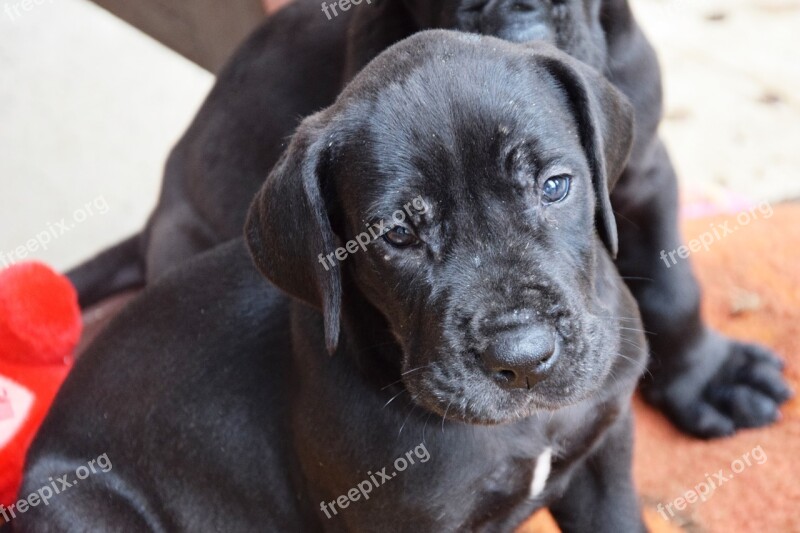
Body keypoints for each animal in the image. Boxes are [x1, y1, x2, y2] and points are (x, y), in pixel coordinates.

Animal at [70, 0, 792, 436]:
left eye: (554, 187)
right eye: (399, 235)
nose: (516, 21)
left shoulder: (644, 171)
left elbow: (673, 284)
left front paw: (709, 375)